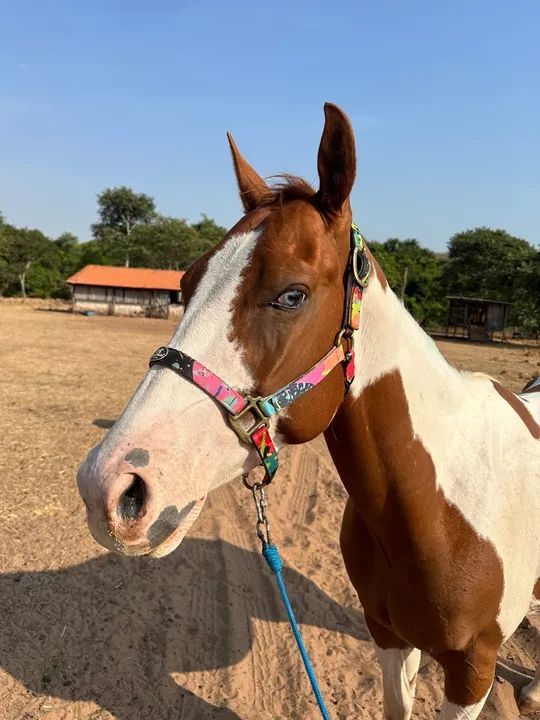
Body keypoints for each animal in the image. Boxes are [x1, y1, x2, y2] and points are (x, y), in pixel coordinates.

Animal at [77, 103, 540, 719]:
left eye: (291, 295)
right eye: (186, 283)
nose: (108, 487)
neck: (442, 509)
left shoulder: (472, 673)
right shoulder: (389, 636)